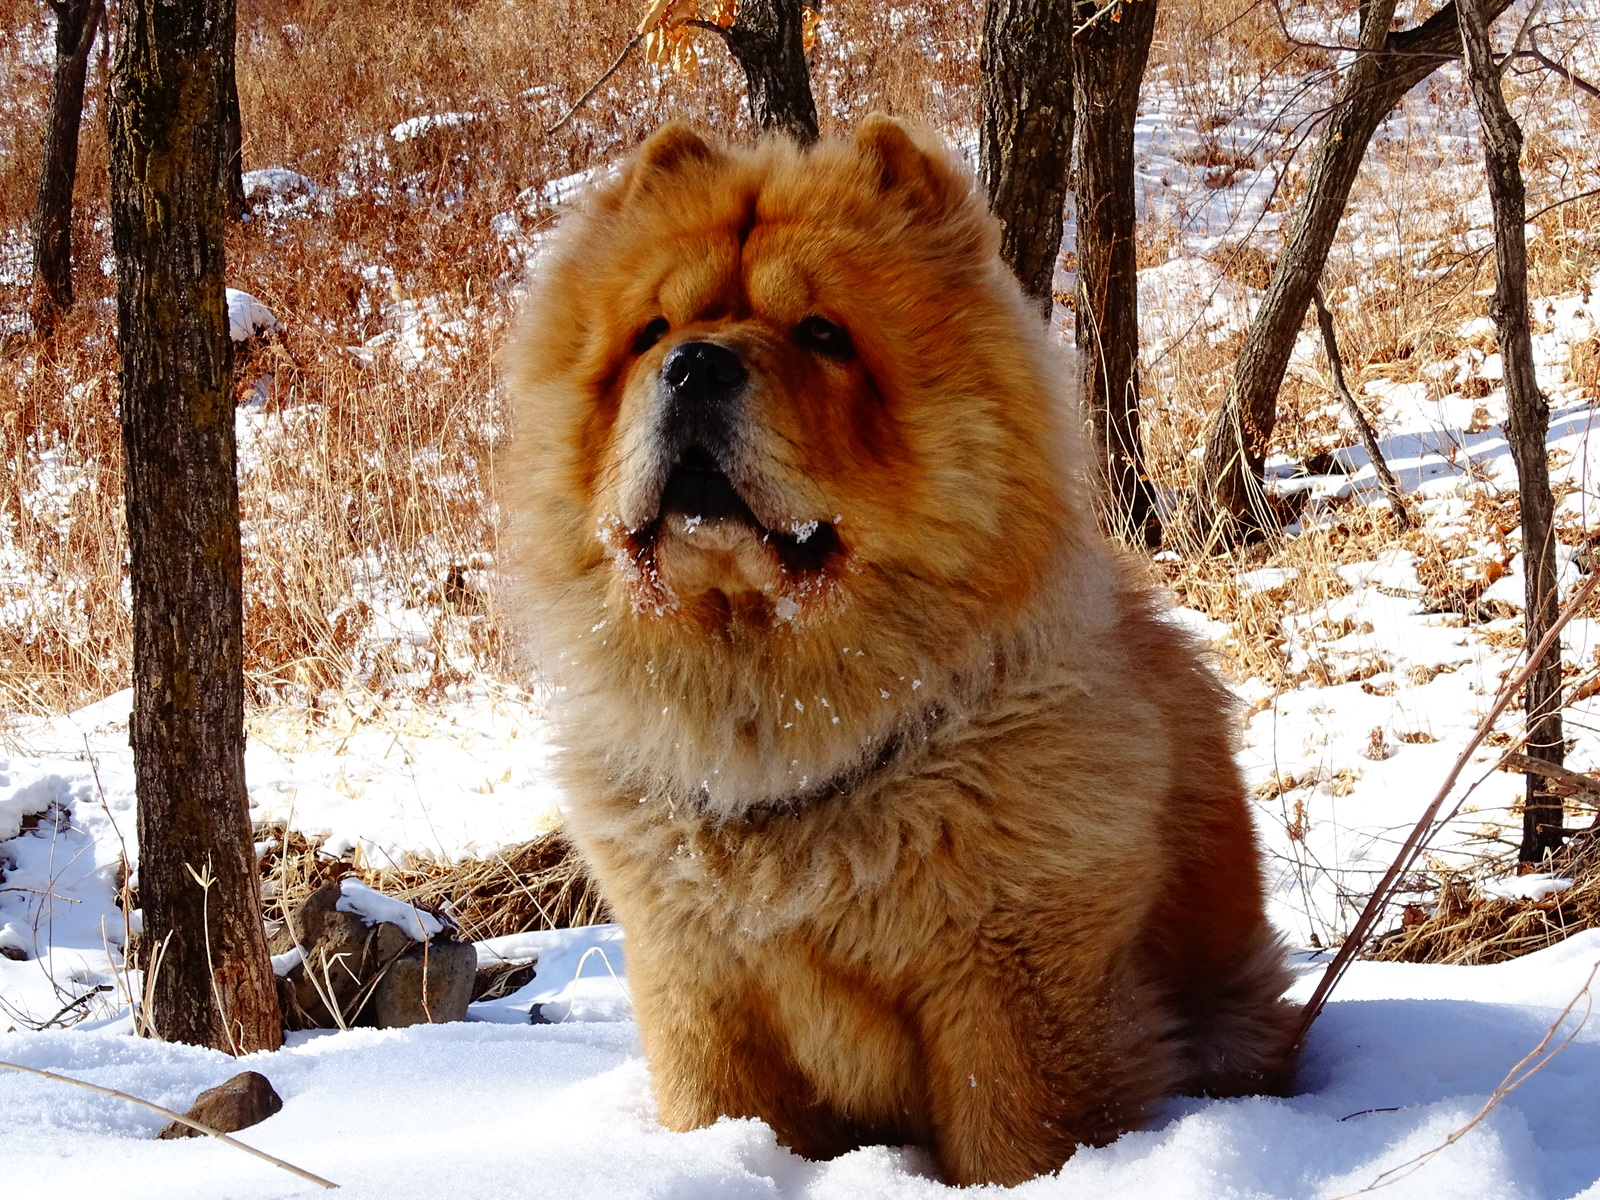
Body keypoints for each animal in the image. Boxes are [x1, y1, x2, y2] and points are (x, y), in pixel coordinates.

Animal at [499, 117, 1299, 1190]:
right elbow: (722, 1112)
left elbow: (1016, 1136)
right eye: (650, 333)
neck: (784, 737)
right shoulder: (697, 988)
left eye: (823, 335)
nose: (696, 364)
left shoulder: (1011, 986)